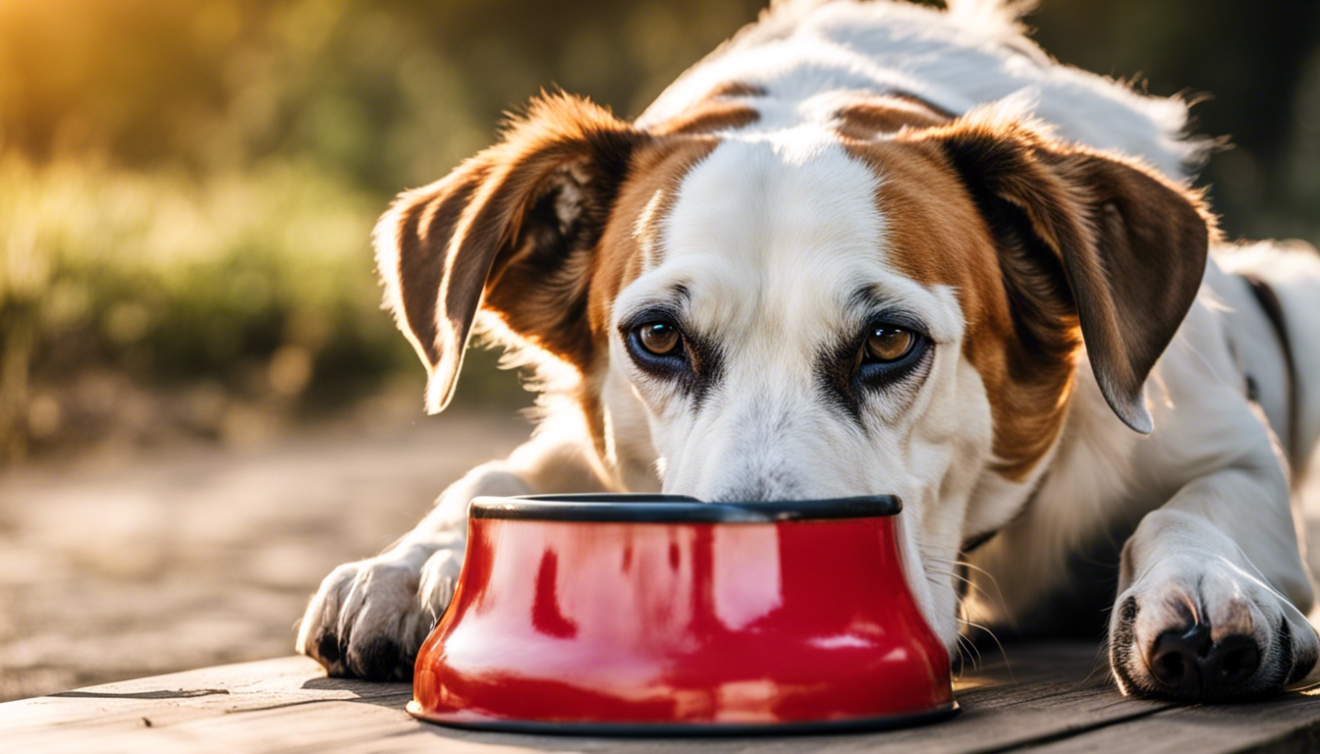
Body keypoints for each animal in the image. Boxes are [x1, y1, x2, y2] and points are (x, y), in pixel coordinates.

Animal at [297, 0, 1320, 702]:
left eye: (890, 341)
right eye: (657, 336)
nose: (752, 586)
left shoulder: (1224, 443)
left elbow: (1198, 503)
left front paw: (1202, 582)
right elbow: (496, 473)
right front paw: (418, 562)